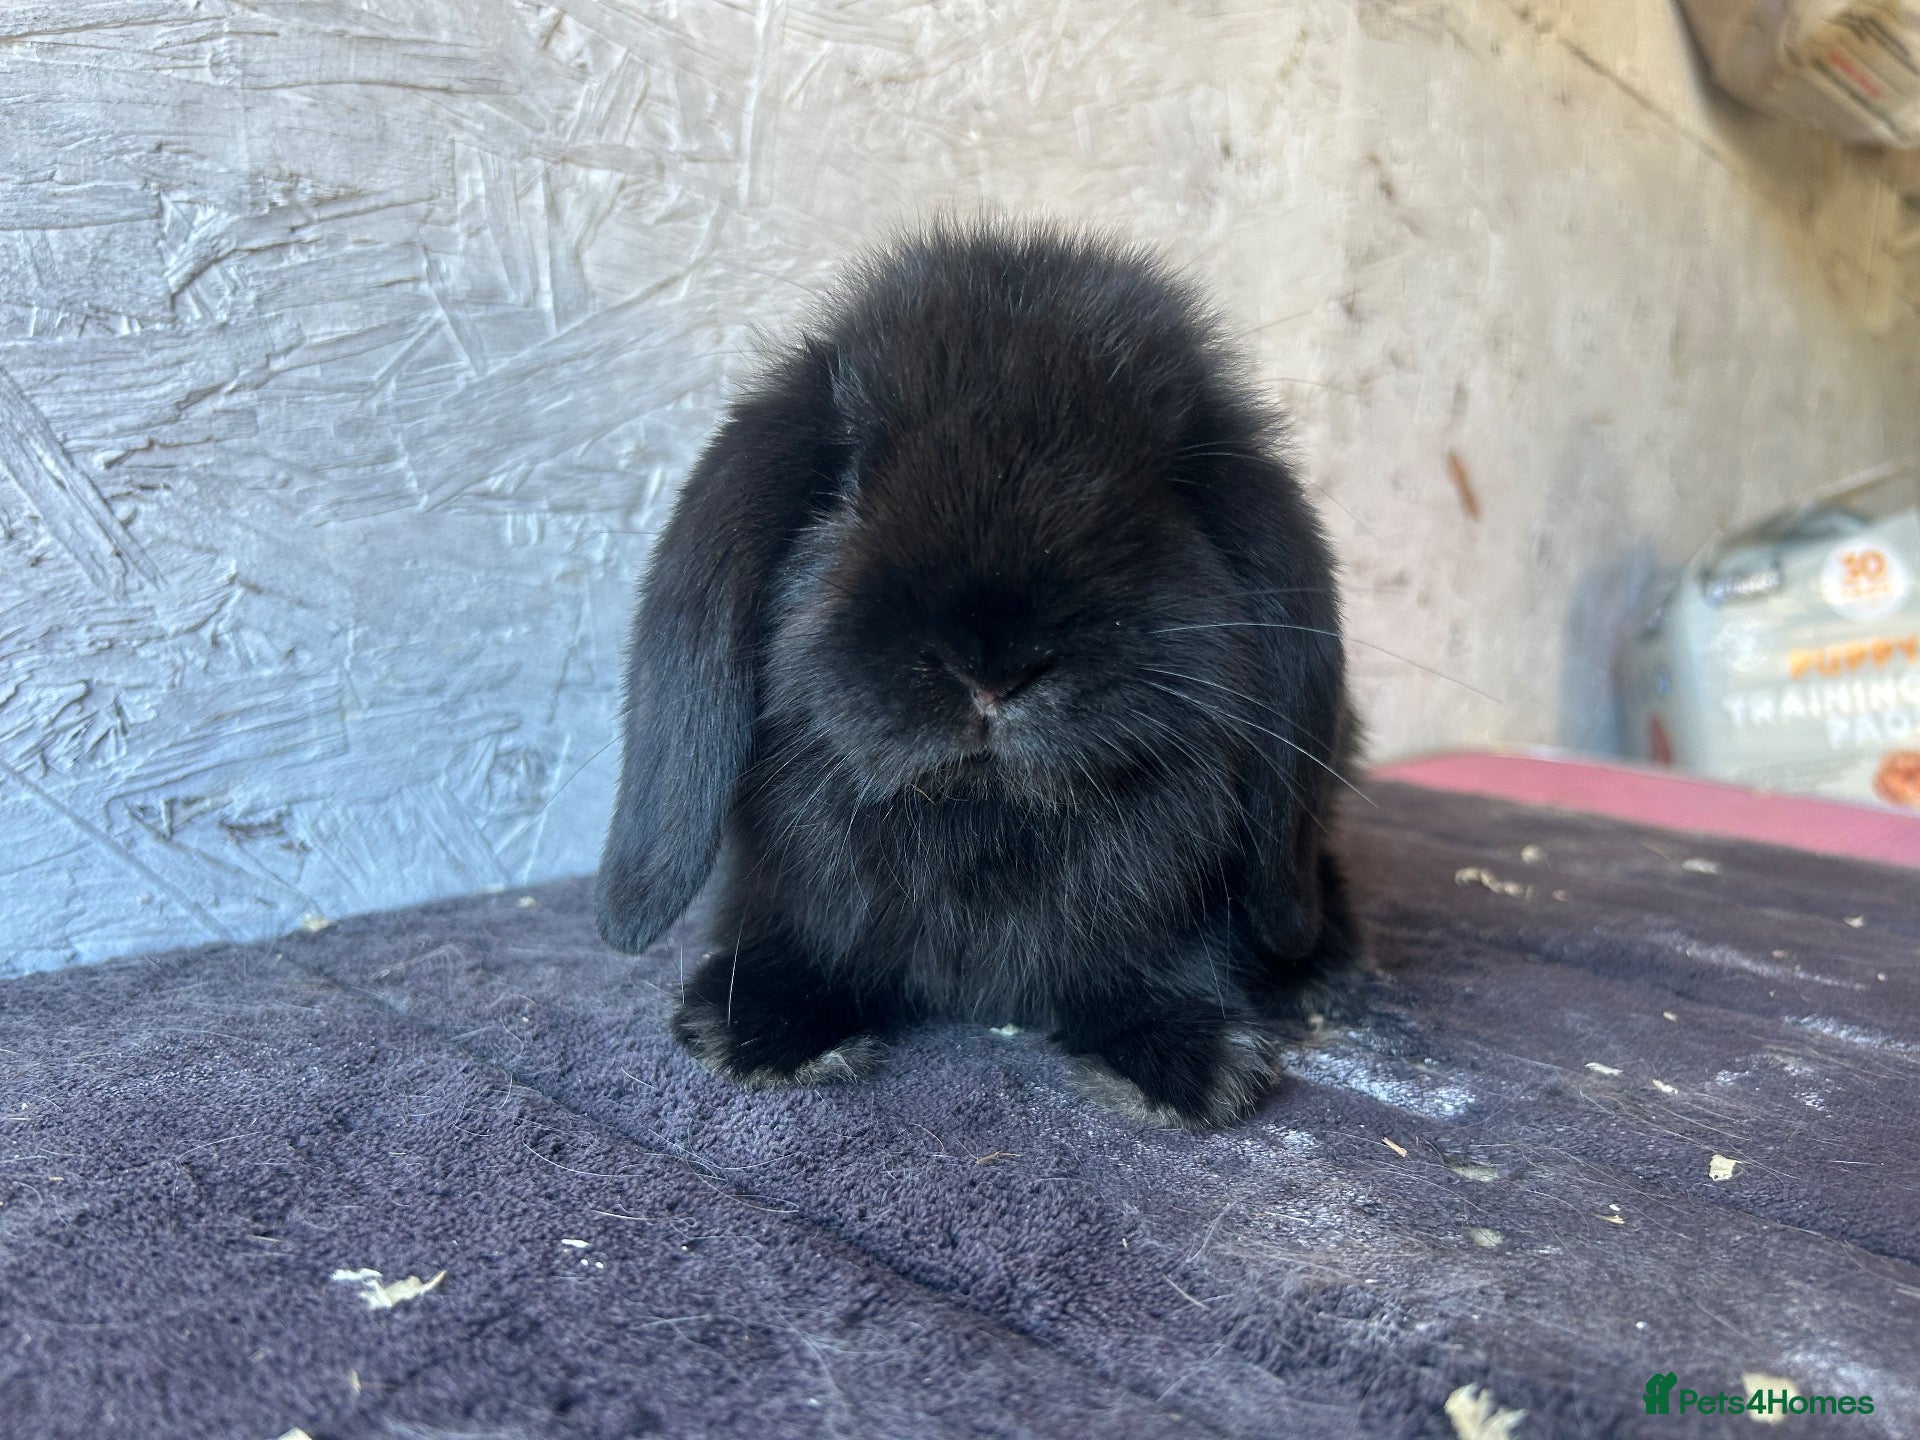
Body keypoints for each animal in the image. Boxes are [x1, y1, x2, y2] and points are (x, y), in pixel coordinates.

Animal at [596, 221, 1359, 1129]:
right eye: (849, 481)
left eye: (1159, 498)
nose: (993, 666)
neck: (982, 821)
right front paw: (754, 1027)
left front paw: (1188, 1062)